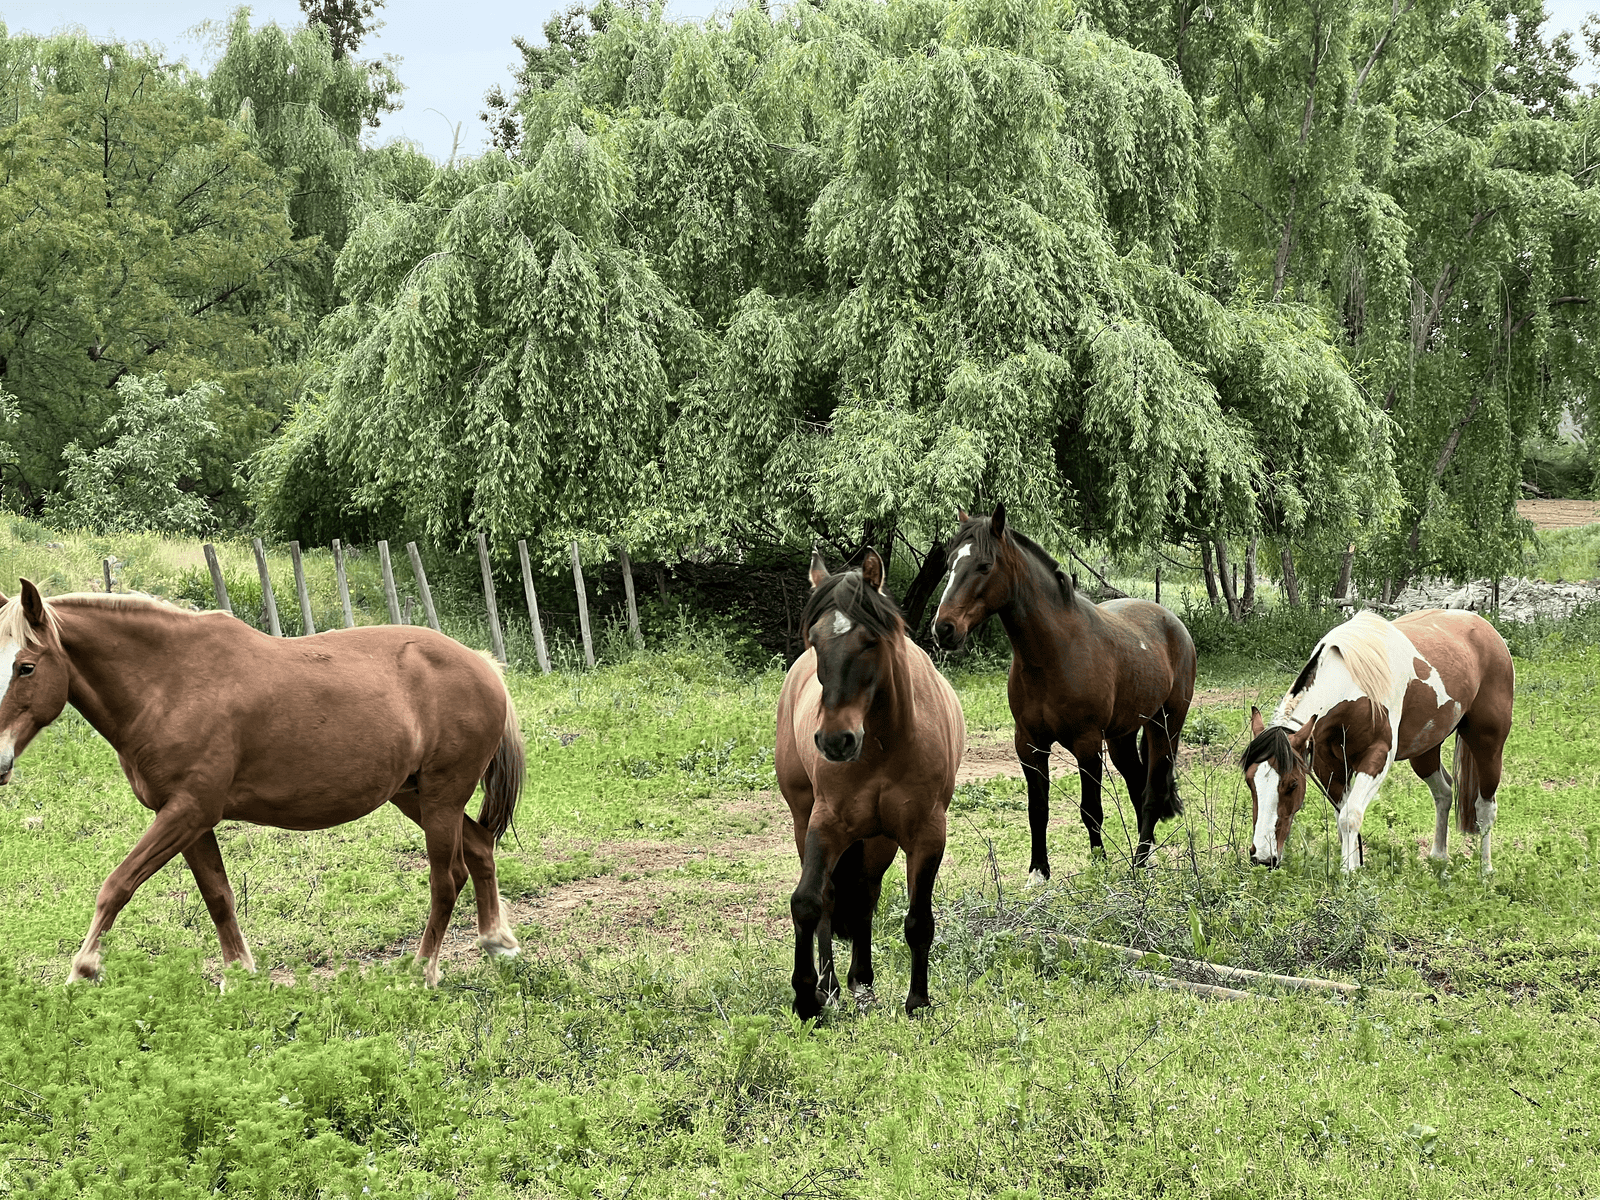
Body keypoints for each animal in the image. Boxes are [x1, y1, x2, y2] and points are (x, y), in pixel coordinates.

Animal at [0, 580, 525, 985]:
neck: (170, 684)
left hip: (440, 798)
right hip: (415, 796)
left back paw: (422, 971)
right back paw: (496, 943)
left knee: (447, 878)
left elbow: (117, 885)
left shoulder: (188, 811)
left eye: (26, 666)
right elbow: (218, 897)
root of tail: (483, 665)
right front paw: (239, 976)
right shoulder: (188, 820)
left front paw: (83, 970)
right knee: (480, 848)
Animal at [774, 548, 965, 1017]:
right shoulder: (824, 825)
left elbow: (918, 920)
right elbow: (809, 901)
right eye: (815, 641)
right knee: (835, 898)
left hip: (878, 839)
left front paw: (918, 1002)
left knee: (864, 896)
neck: (884, 744)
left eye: (870, 641)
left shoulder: (926, 835)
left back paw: (862, 982)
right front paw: (807, 997)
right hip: (805, 818)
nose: (835, 740)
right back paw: (832, 986)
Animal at [932, 505, 1195, 876]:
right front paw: (1038, 873)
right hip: (1122, 738)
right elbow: (1037, 811)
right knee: (1137, 785)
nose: (944, 629)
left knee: (1153, 790)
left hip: (1165, 727)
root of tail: (1172, 622)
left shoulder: (1087, 744)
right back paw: (1147, 857)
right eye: (950, 562)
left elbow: (1091, 810)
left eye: (985, 565)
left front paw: (1098, 867)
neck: (1053, 654)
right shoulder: (1029, 744)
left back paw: (1140, 861)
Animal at [1240, 608, 1514, 873]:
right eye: (1250, 781)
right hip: (1424, 751)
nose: (1262, 857)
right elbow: (1342, 816)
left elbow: (1350, 815)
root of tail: (1485, 628)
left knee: (1485, 807)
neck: (1354, 685)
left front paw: (1347, 875)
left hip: (1487, 745)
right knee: (1444, 793)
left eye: (1293, 784)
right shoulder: (1328, 765)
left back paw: (1485, 871)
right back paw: (1438, 859)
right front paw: (1354, 867)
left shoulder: (1377, 757)